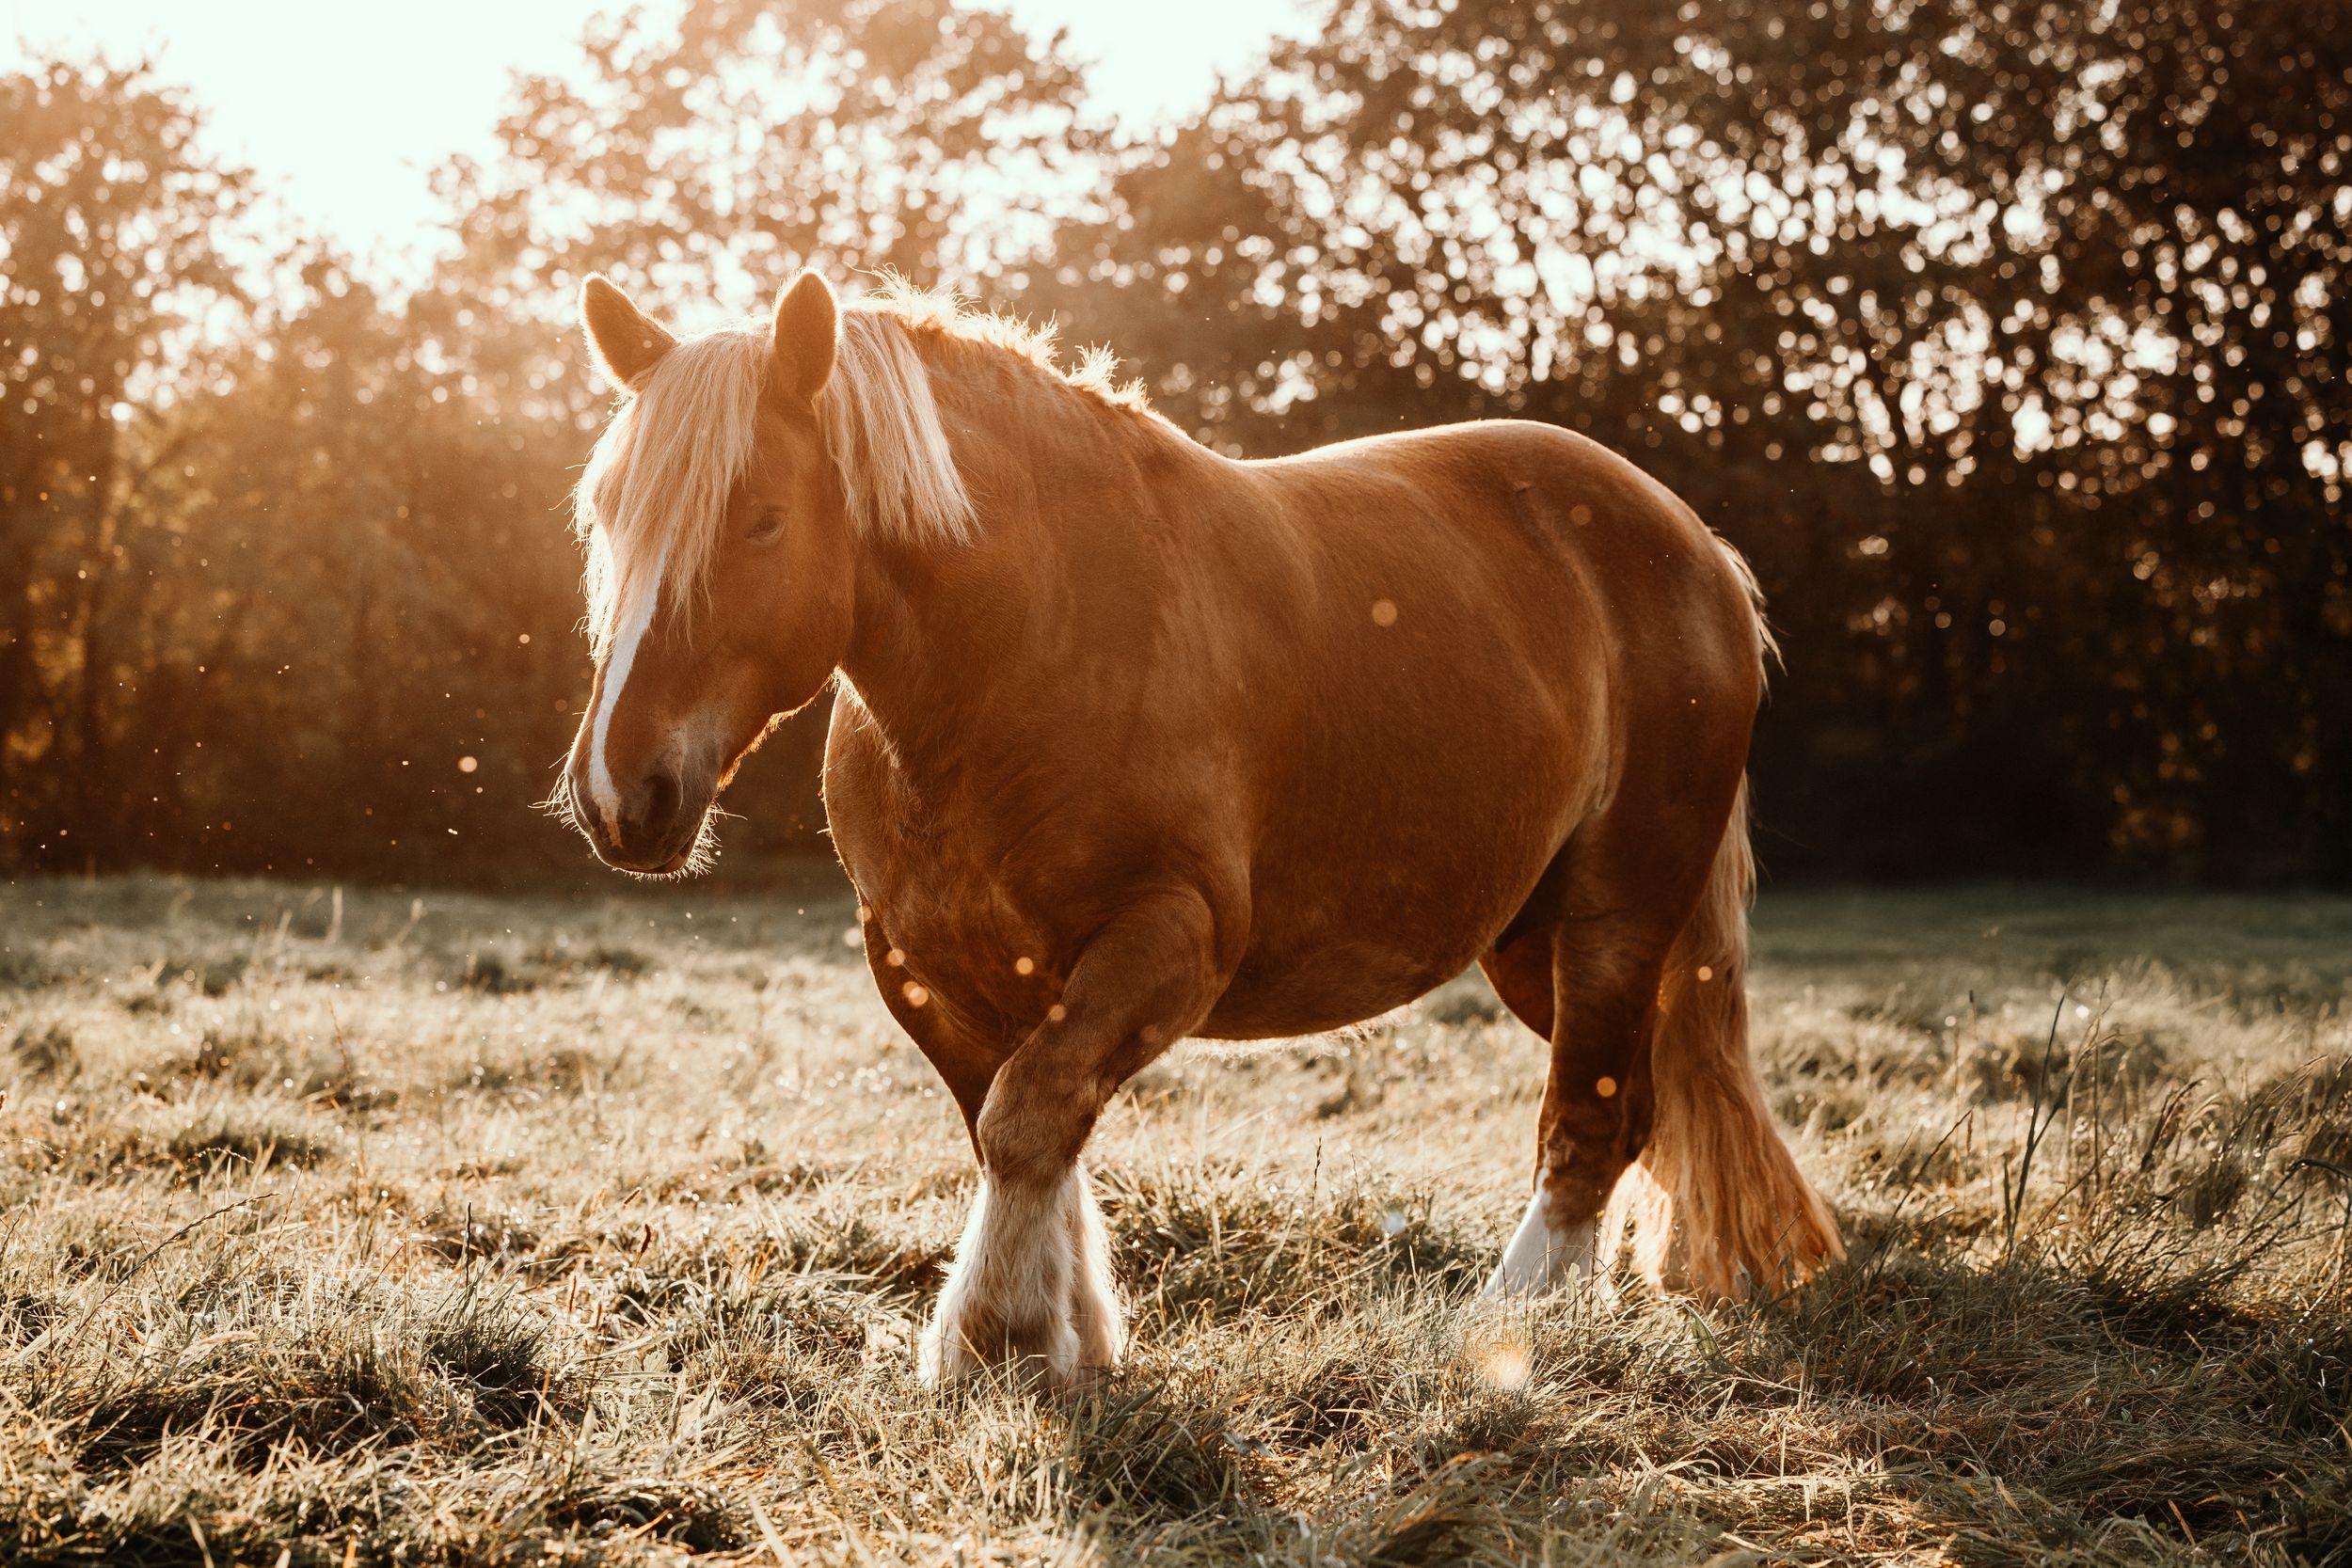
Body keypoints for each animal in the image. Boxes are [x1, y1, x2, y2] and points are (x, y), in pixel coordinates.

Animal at [556, 268, 1842, 1385]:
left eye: (763, 519)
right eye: (607, 513)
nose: (619, 792)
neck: (1016, 654)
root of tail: (1692, 542)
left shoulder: (1170, 937)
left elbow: (1029, 1118)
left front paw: (994, 1339)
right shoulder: (929, 967)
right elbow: (1017, 1125)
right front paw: (1068, 1337)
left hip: (1617, 912)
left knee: (1590, 1115)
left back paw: (1516, 1320)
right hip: (1535, 942)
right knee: (1644, 1100)